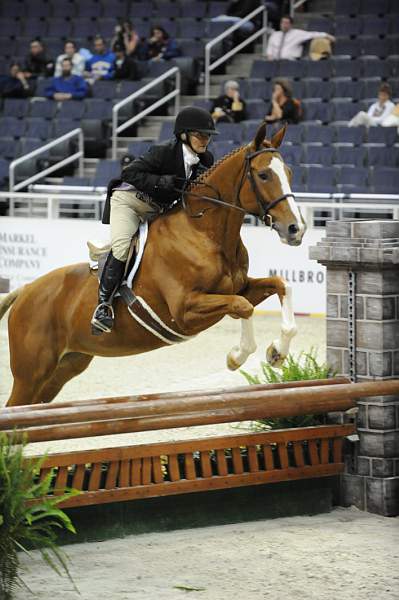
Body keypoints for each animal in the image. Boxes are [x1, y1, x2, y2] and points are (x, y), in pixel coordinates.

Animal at [0, 120, 306, 408]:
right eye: (264, 175)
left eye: (290, 174)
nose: (296, 229)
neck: (204, 232)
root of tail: (25, 291)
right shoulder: (185, 310)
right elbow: (242, 307)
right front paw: (236, 357)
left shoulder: (239, 288)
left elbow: (280, 285)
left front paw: (277, 352)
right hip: (32, 372)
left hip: (65, 367)